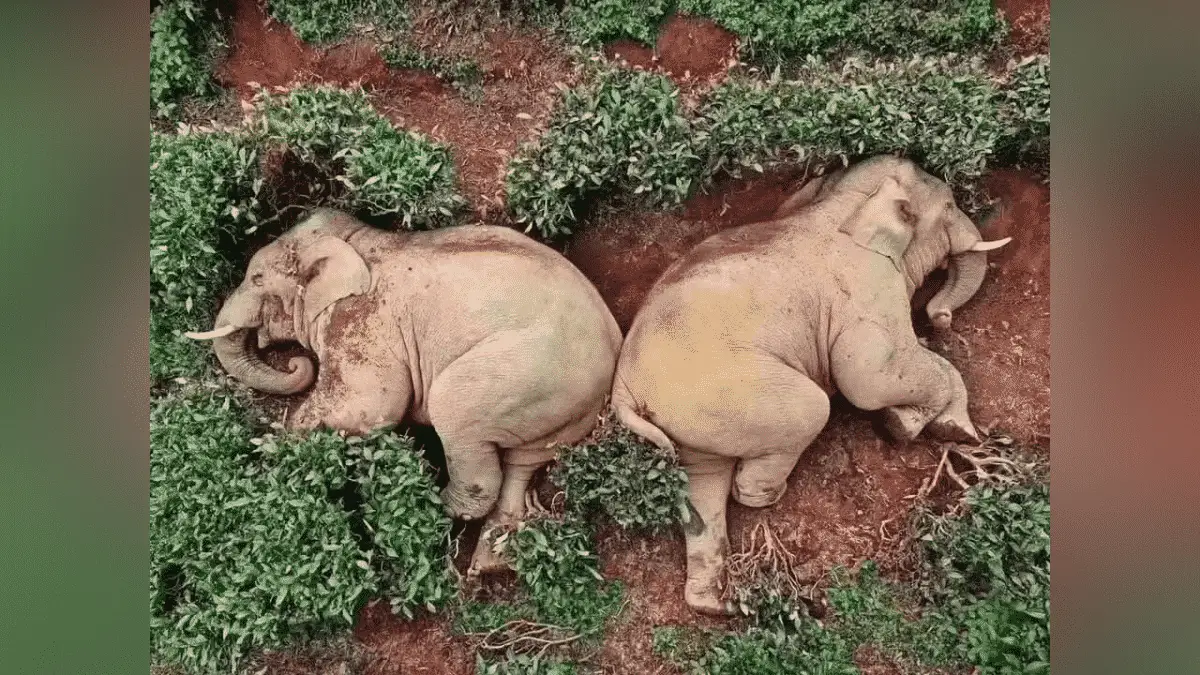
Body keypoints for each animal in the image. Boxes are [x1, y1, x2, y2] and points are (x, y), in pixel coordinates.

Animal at [187, 208, 622, 573]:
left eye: (257, 278)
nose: (296, 364)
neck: (358, 240)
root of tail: (613, 353)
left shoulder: (362, 320)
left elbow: (368, 407)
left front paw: (276, 445)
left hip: (527, 374)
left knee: (457, 415)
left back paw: (429, 506)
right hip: (560, 409)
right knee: (523, 462)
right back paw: (489, 564)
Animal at [609, 156, 1011, 613]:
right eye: (947, 207)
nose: (939, 317)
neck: (839, 205)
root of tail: (623, 390)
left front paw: (937, 426)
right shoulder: (867, 291)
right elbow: (868, 379)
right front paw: (911, 427)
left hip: (689, 418)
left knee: (703, 483)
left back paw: (714, 604)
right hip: (728, 392)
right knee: (809, 412)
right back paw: (767, 497)